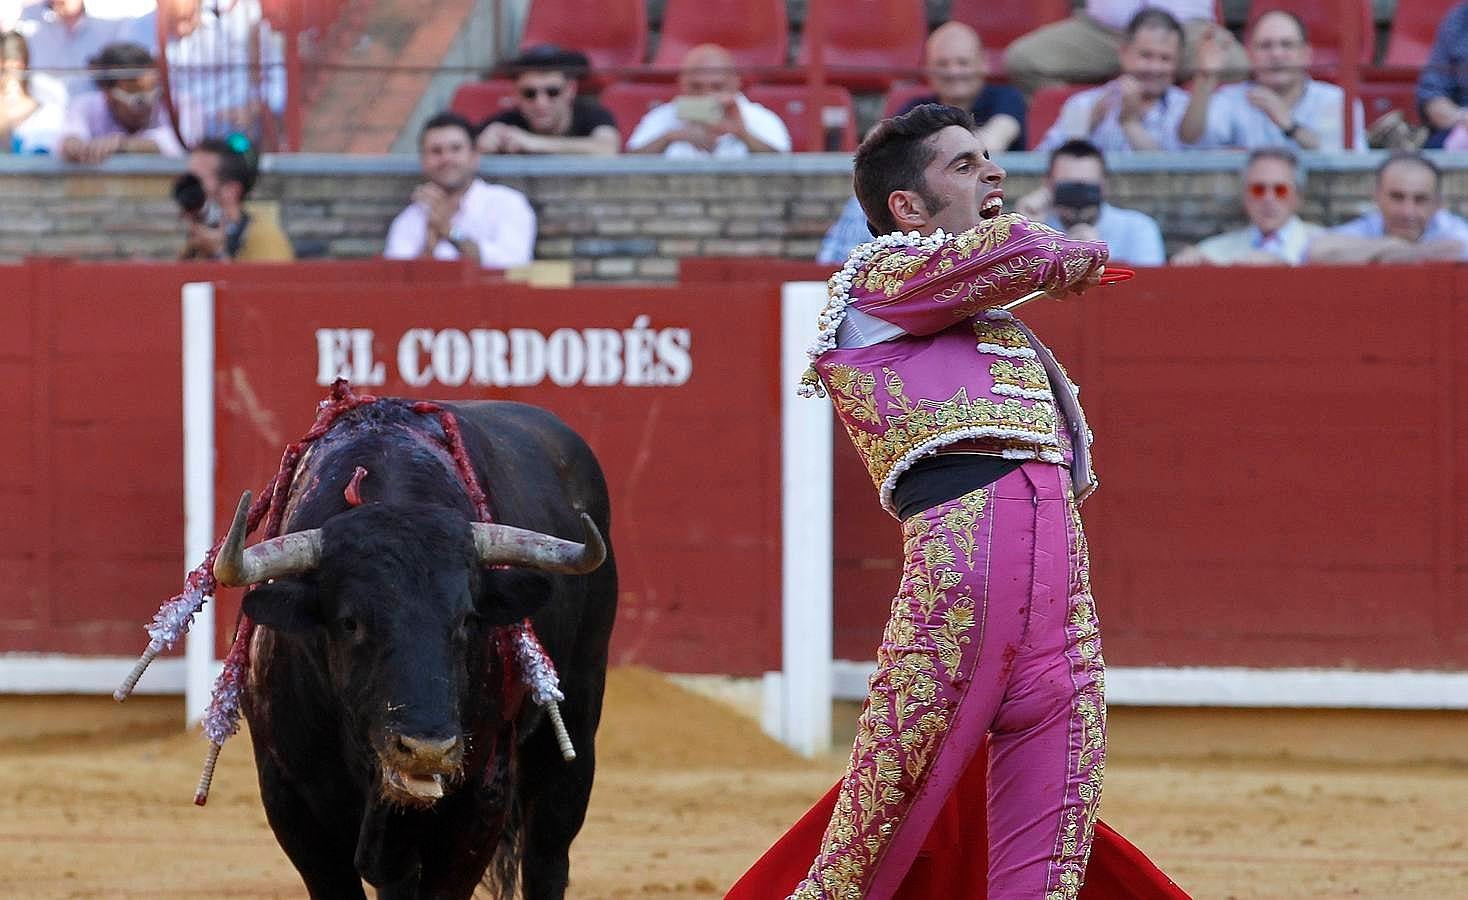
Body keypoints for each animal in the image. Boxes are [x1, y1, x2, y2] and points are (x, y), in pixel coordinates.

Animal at [214, 399, 616, 898]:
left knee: (547, 856)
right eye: (349, 622)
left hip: (577, 714)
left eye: (468, 619)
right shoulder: (290, 799)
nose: (427, 749)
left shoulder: (478, 800)